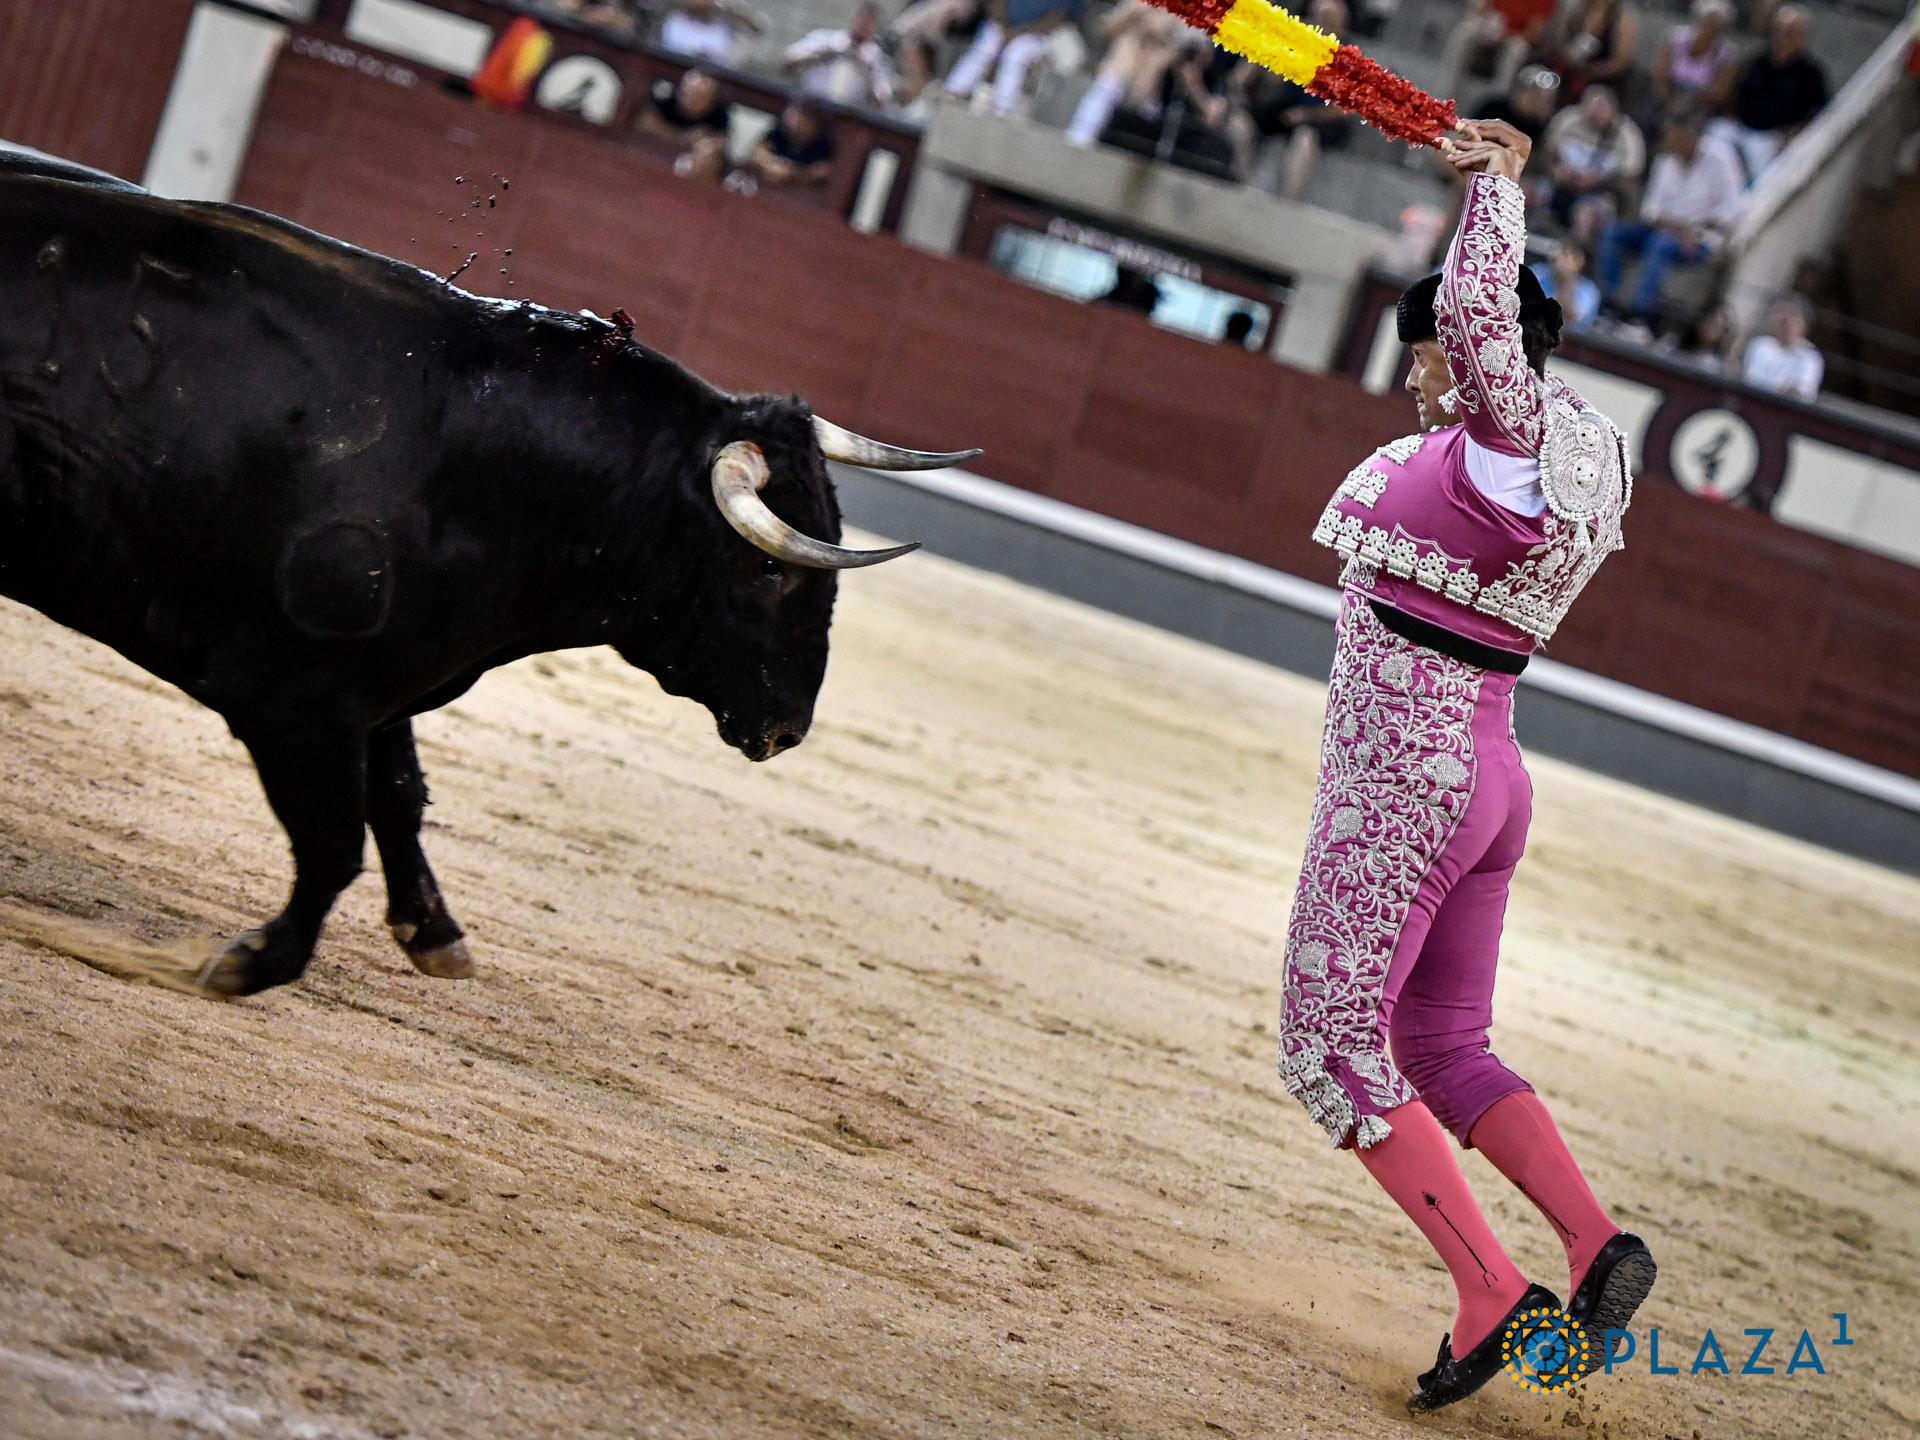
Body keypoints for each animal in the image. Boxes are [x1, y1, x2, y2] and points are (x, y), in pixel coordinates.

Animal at [0, 148, 975, 997]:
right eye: (771, 575)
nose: (789, 728)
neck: (483, 462)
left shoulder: (375, 690)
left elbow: (398, 798)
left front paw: (436, 936)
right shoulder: (295, 696)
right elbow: (334, 841)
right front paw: (253, 961)